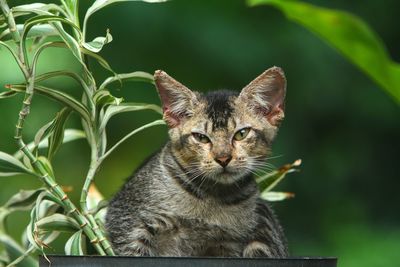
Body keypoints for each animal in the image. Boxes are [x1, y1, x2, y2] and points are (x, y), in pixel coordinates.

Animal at [105, 66, 288, 258]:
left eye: (241, 134)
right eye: (201, 137)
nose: (223, 158)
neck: (213, 197)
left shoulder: (231, 244)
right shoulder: (128, 226)